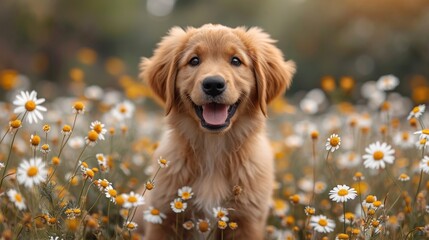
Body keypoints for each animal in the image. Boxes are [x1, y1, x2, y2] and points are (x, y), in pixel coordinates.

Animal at [137, 23, 294, 239]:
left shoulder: (247, 221)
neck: (213, 148)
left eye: (236, 60)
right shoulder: (163, 217)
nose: (213, 84)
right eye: (194, 60)